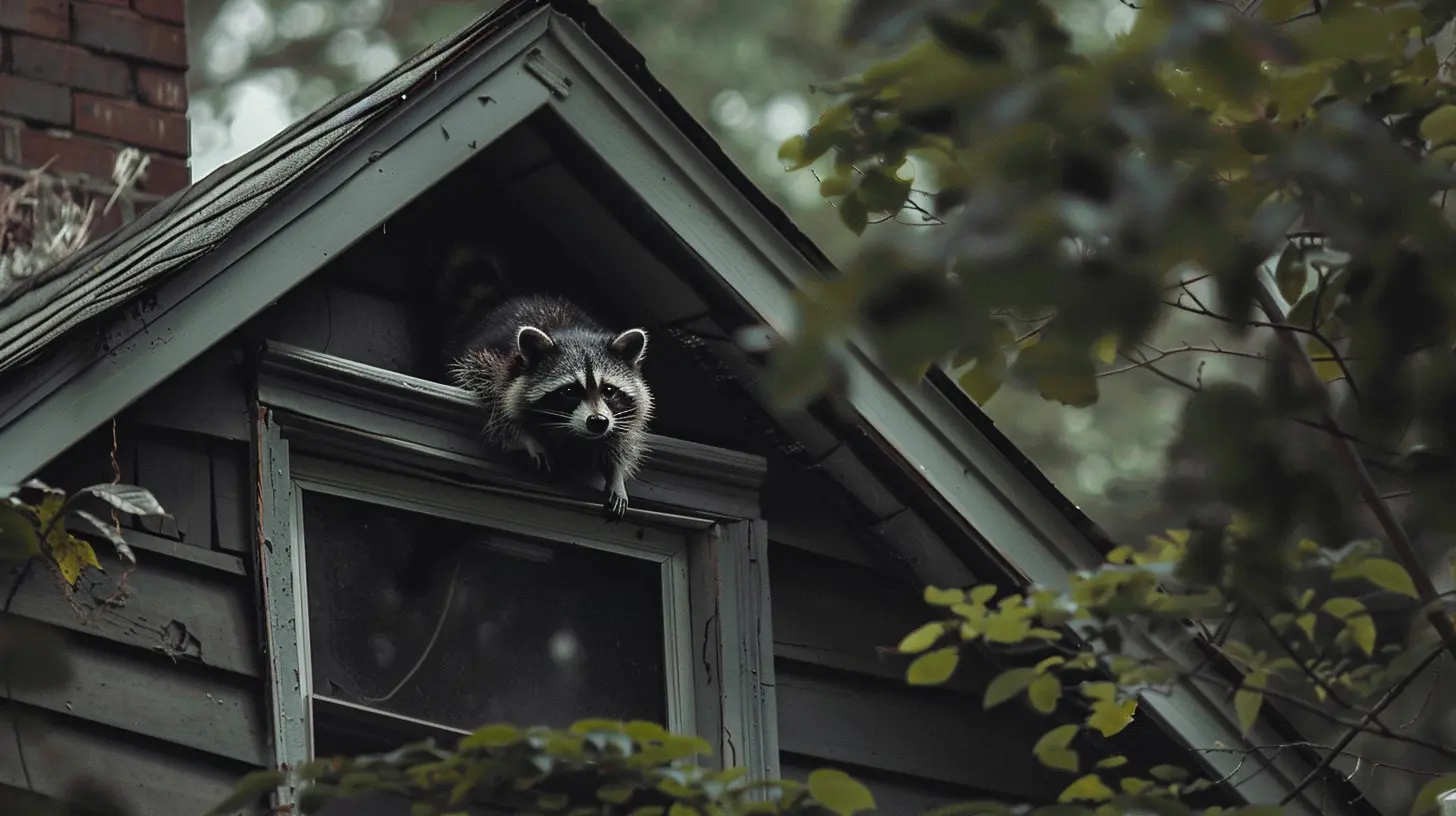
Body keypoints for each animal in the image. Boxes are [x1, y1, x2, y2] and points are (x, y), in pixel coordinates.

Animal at [447, 294, 654, 521]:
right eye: (570, 391)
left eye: (609, 390)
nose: (598, 422)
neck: (574, 333)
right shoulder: (491, 363)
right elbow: (495, 402)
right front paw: (524, 436)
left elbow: (623, 437)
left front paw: (616, 474)